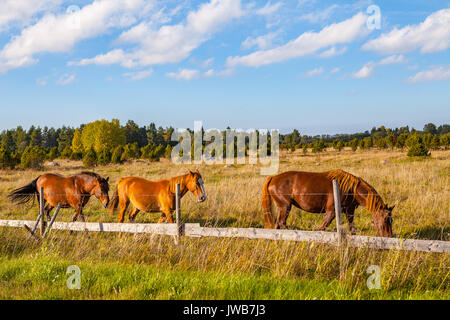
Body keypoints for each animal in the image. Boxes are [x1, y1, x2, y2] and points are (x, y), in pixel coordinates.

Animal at [262, 170, 396, 238]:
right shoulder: (331, 212)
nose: (389, 236)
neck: (351, 189)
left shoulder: (349, 212)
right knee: (282, 224)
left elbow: (352, 229)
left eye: (391, 220)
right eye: (385, 219)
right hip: (285, 207)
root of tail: (273, 178)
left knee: (277, 226)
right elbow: (322, 229)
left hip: (282, 209)